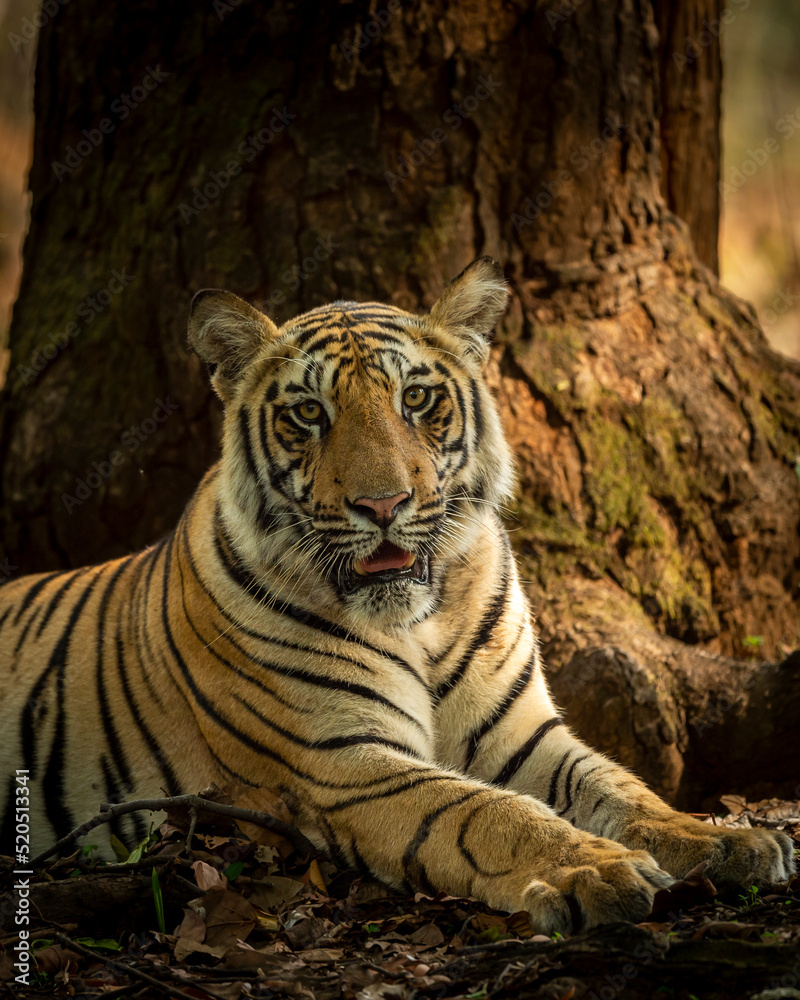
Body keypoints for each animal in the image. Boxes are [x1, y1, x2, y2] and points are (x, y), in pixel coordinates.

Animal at [0, 257, 794, 933]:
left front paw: (726, 842)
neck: (422, 621)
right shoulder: (342, 761)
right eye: (309, 413)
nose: (382, 504)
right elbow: (487, 814)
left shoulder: (520, 732)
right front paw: (597, 872)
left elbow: (620, 786)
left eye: (416, 398)